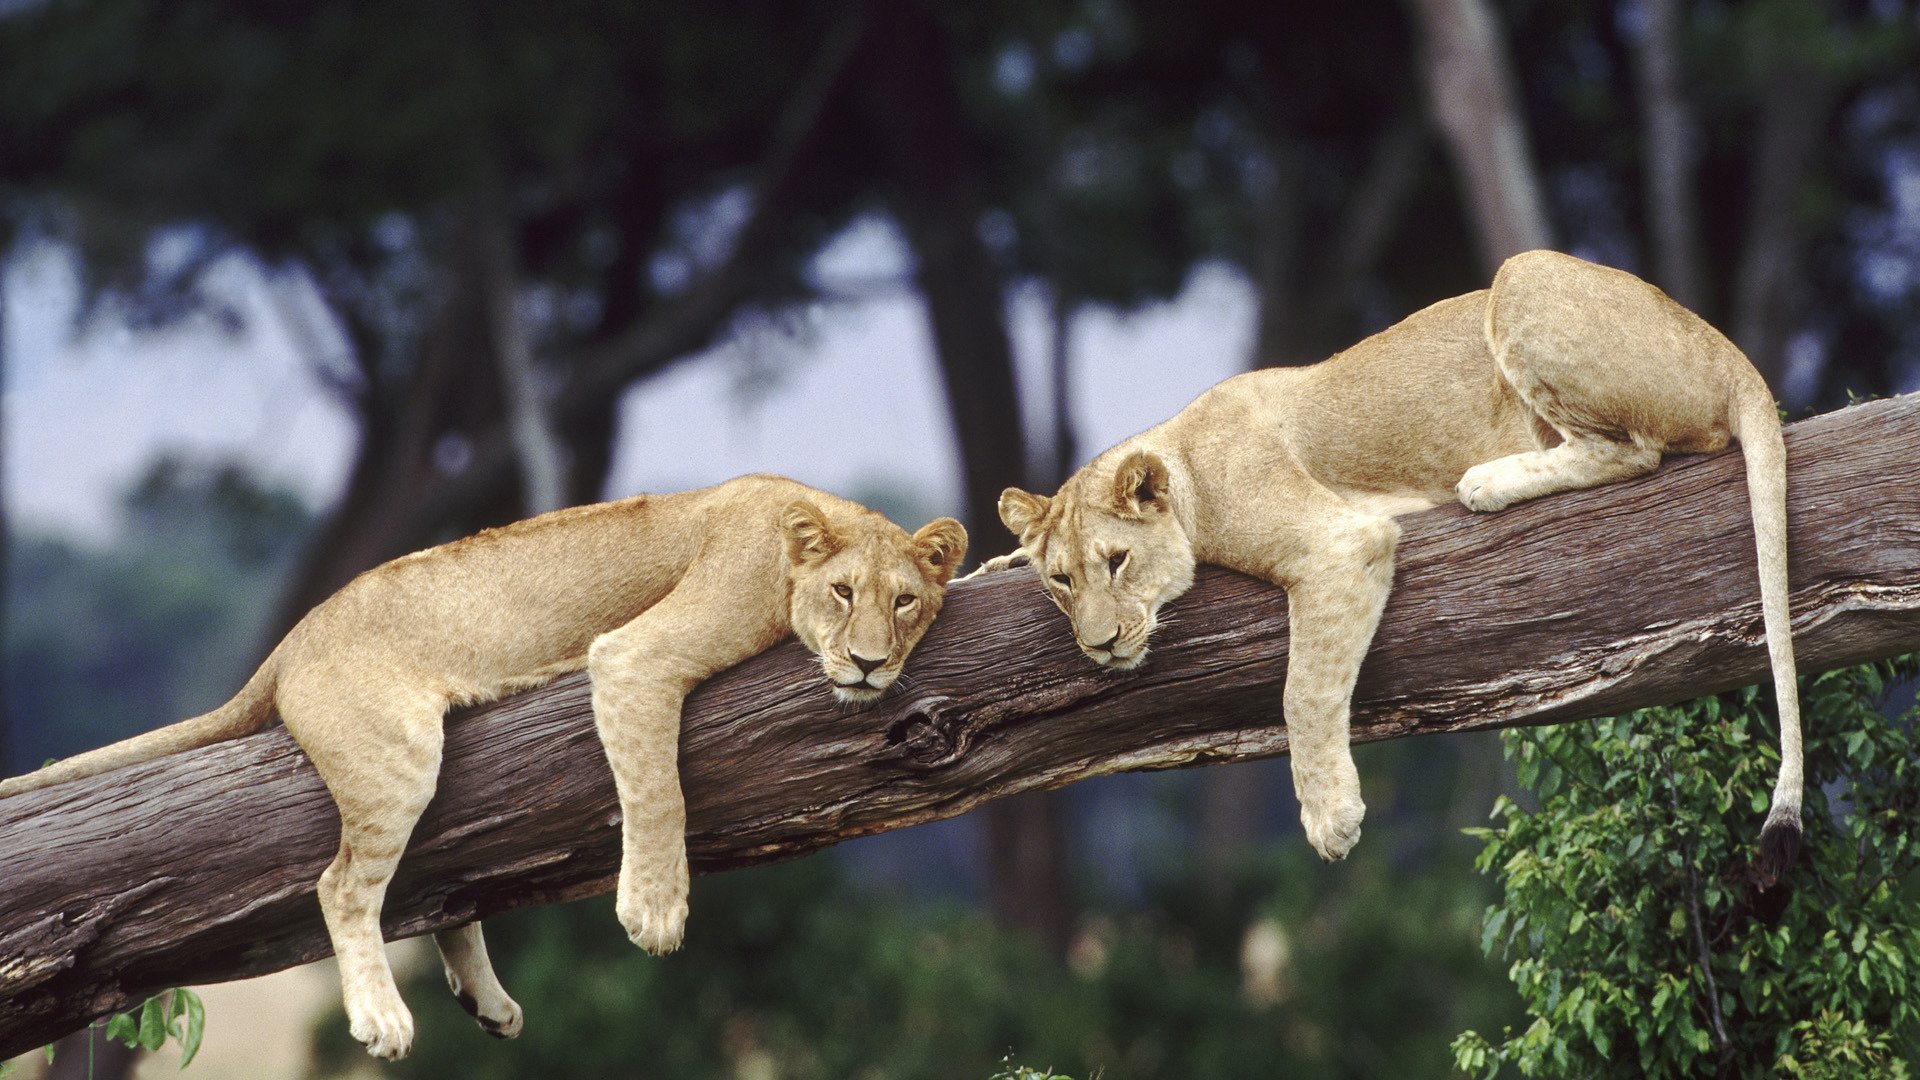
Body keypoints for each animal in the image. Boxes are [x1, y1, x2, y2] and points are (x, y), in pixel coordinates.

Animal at [0, 474, 966, 1060]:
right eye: (843, 593)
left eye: (905, 602)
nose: (870, 665)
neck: (796, 527)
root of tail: (293, 642)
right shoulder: (634, 657)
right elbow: (659, 790)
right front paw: (654, 911)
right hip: (397, 754)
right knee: (343, 886)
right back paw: (383, 1018)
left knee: (442, 879)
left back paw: (487, 1003)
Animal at [983, 249, 1801, 876]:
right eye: (1062, 581)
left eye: (1117, 562)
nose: (1099, 646)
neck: (1181, 460)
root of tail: (1728, 350)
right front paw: (990, 565)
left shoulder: (1340, 543)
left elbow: (1303, 692)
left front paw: (1330, 817)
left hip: (1523, 274)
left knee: (1635, 451)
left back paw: (1487, 481)